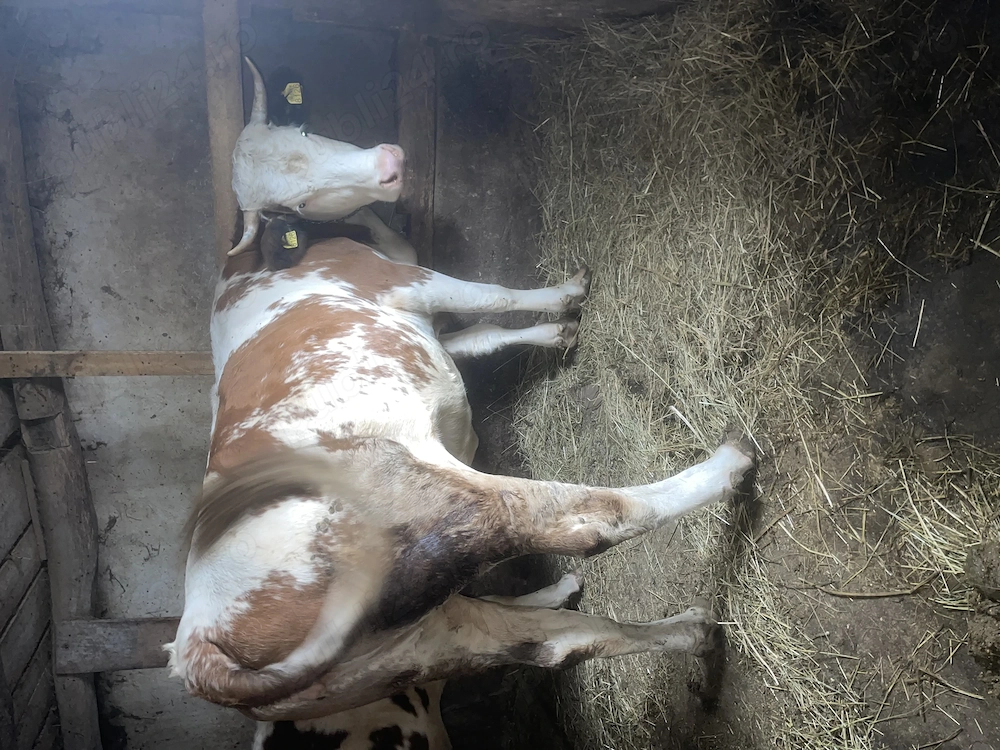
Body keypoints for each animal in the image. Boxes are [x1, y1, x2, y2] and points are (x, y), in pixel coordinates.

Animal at [164, 231, 756, 746]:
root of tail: (199, 648)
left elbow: (479, 334)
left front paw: (557, 331)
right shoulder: (399, 277)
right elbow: (490, 295)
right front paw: (569, 296)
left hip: (417, 649)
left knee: (561, 642)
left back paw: (688, 630)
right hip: (440, 497)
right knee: (582, 521)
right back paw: (730, 464)